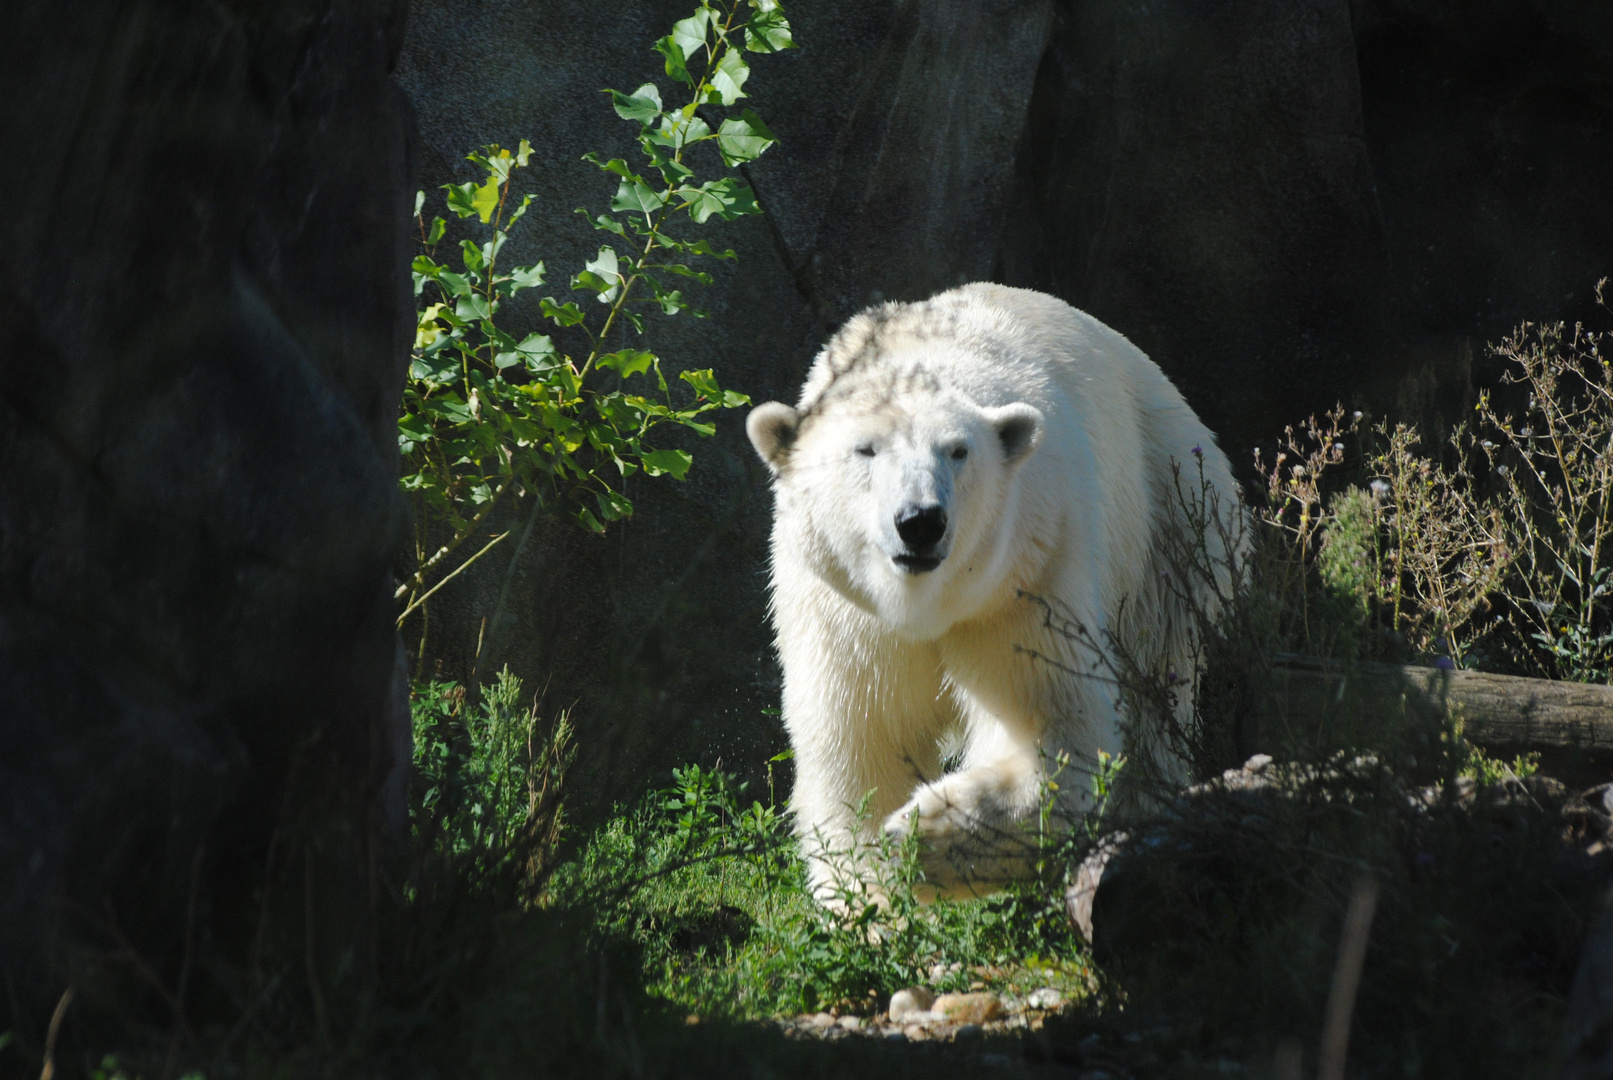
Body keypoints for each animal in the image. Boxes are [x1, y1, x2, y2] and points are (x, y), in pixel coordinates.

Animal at [748, 283, 1238, 902]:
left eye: (958, 451)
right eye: (865, 450)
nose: (921, 522)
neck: (923, 606)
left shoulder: (1023, 578)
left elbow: (1052, 730)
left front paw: (921, 833)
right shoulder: (845, 616)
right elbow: (861, 744)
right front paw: (876, 897)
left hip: (1170, 521)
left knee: (1156, 688)